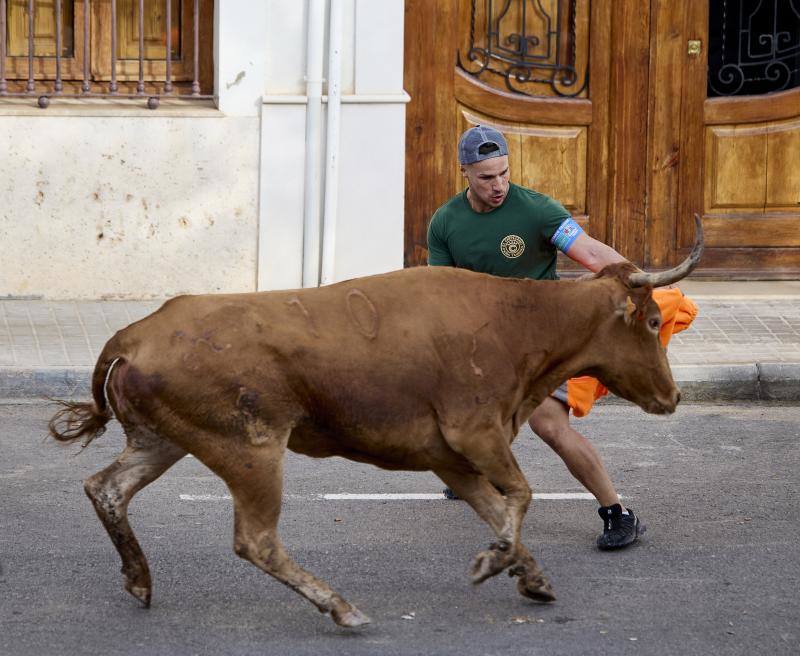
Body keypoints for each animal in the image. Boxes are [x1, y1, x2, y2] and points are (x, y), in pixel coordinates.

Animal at [48, 214, 700, 624]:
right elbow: (520, 494)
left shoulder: (452, 457)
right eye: (650, 322)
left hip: (163, 440)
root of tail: (137, 333)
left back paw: (139, 579)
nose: (671, 397)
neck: (517, 321)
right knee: (256, 541)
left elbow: (499, 507)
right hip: (251, 451)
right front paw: (494, 562)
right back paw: (340, 607)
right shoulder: (476, 433)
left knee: (106, 488)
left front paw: (529, 575)